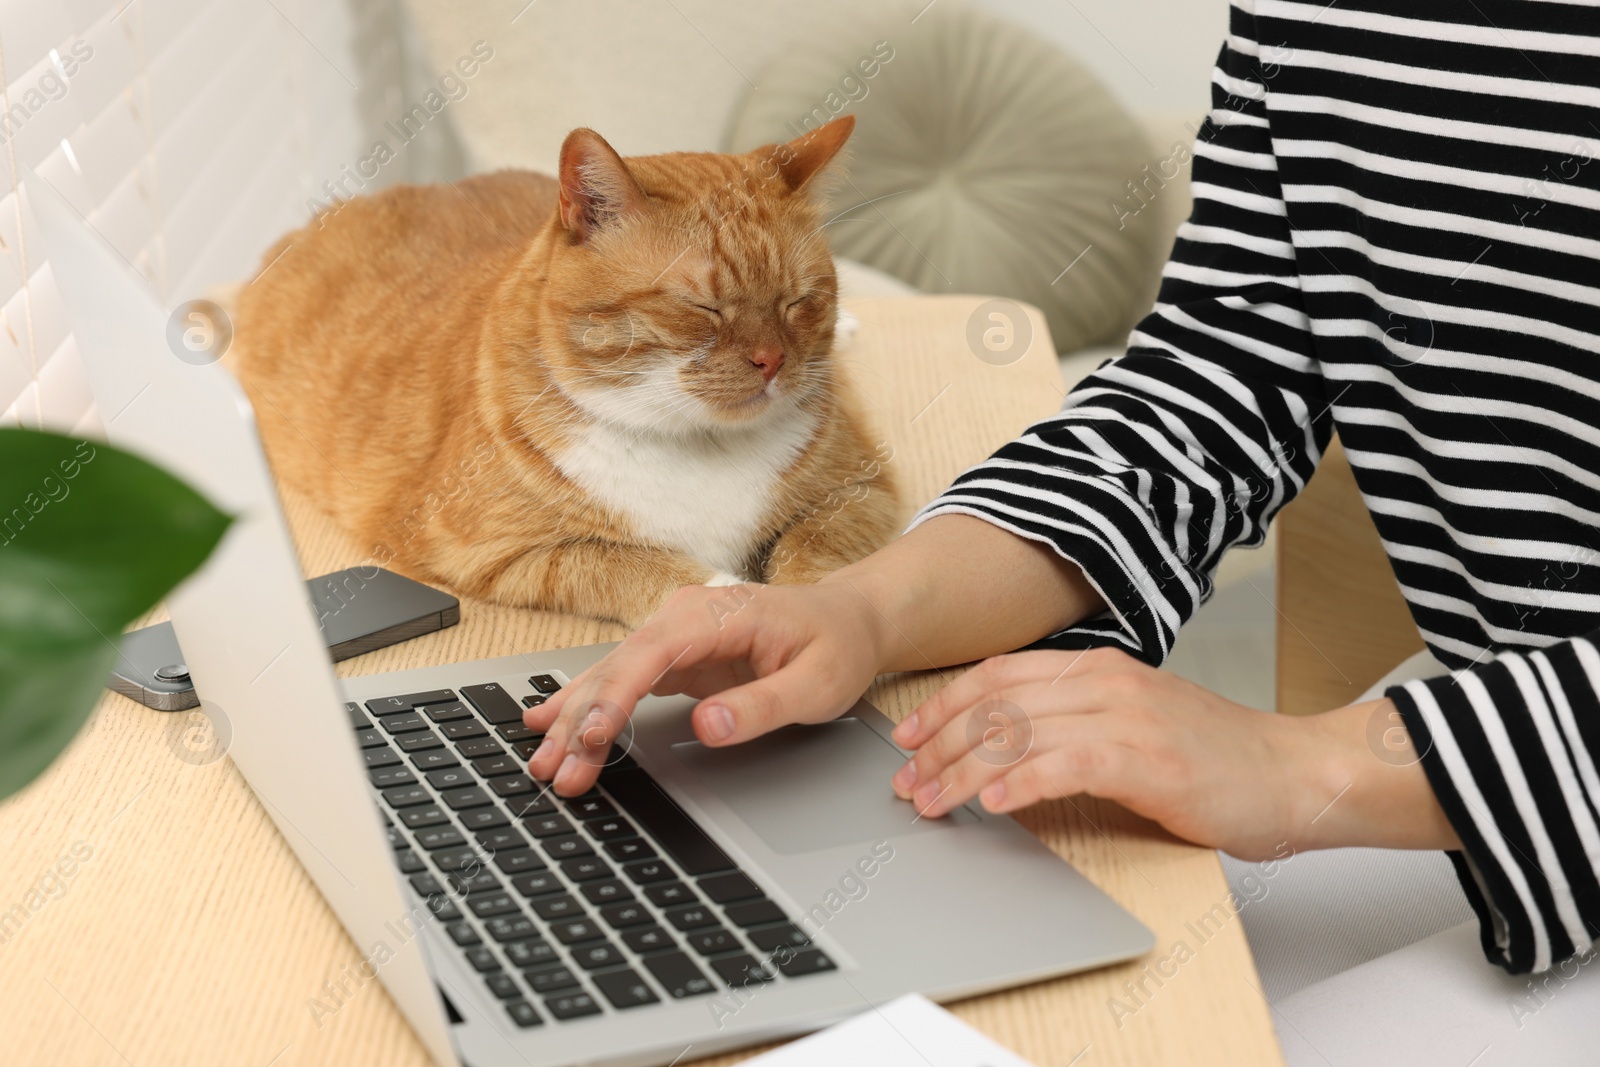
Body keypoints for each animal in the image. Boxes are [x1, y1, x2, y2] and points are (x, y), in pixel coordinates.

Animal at [233, 119, 902, 627]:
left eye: (799, 300)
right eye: (701, 306)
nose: (772, 360)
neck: (697, 441)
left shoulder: (862, 490)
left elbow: (810, 552)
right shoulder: (500, 553)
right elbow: (624, 564)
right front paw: (730, 601)